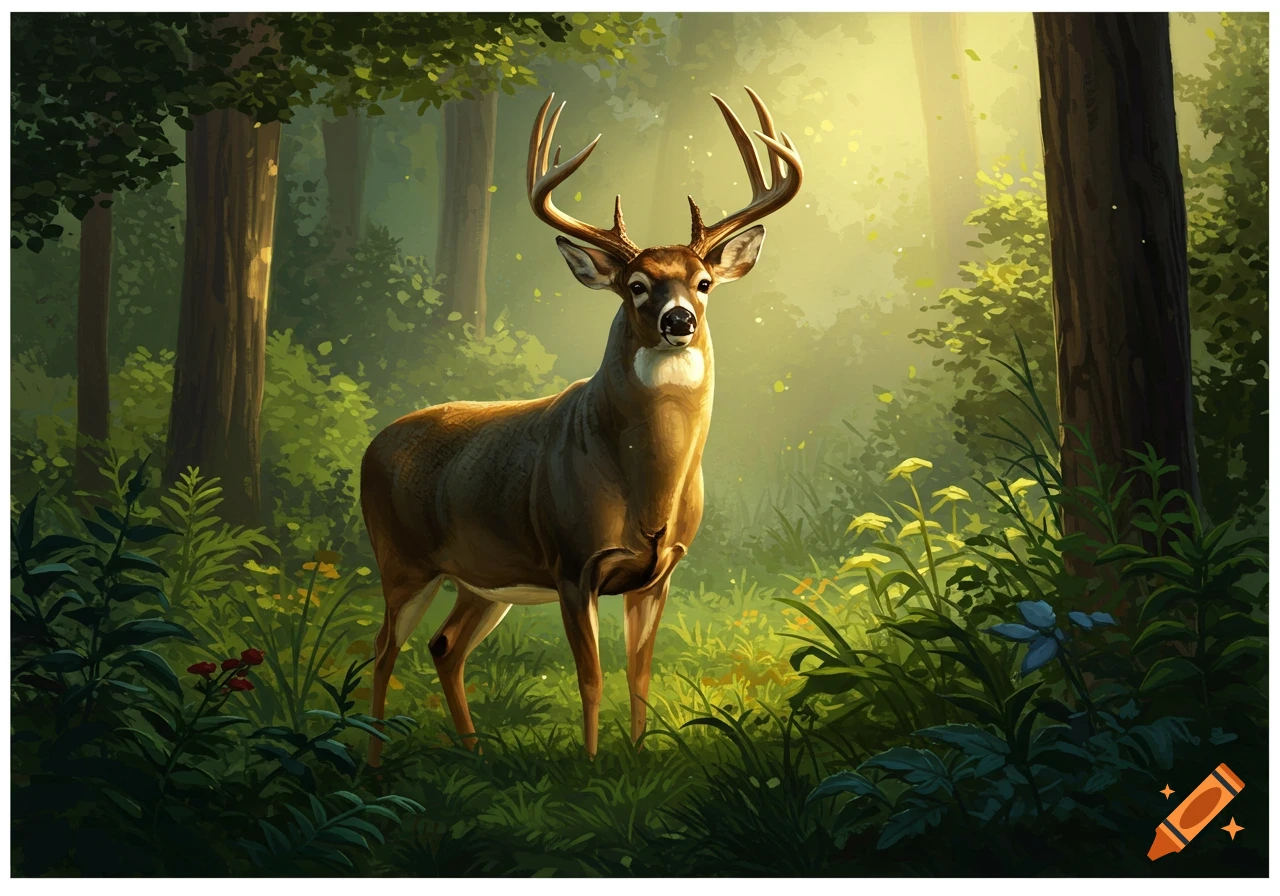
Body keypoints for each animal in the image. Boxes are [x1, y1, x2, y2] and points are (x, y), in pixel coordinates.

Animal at [361, 87, 803, 765]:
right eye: (637, 285)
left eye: (703, 282)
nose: (679, 320)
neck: (647, 490)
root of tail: (371, 445)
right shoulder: (573, 561)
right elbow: (590, 676)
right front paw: (593, 765)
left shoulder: (659, 572)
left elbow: (639, 673)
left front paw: (640, 758)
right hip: (401, 560)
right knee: (382, 653)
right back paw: (373, 764)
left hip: (485, 580)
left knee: (444, 646)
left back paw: (474, 753)